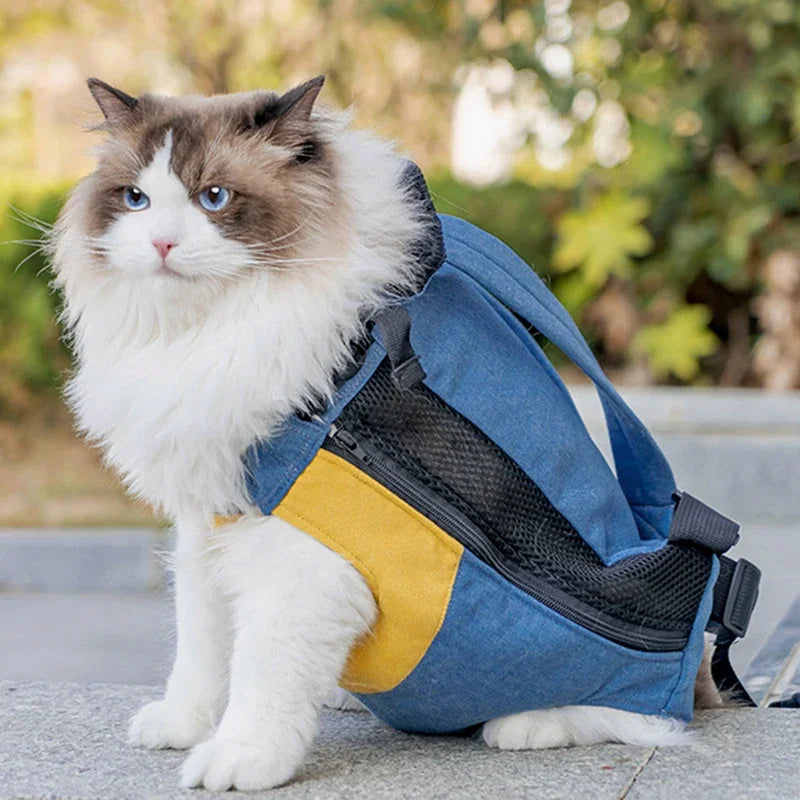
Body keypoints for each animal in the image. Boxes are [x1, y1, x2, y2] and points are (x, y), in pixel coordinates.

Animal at [53, 78, 708, 792]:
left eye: (214, 198)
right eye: (135, 200)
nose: (162, 245)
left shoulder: (300, 560)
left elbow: (260, 679)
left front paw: (239, 760)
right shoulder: (210, 525)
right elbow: (200, 649)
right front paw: (182, 726)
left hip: (609, 670)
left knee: (639, 715)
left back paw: (527, 725)